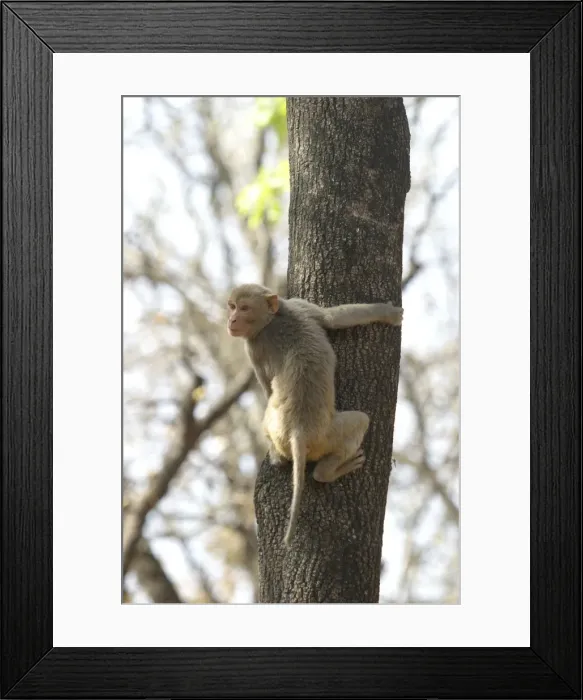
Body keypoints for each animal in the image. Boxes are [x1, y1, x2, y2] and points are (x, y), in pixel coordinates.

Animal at [226, 283, 403, 545]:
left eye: (244, 308)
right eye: (232, 306)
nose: (232, 319)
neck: (271, 319)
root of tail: (299, 432)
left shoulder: (267, 332)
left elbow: (331, 319)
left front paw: (386, 313)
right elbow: (333, 319)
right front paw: (387, 312)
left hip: (321, 435)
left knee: (358, 422)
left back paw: (311, 468)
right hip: (326, 436)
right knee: (360, 421)